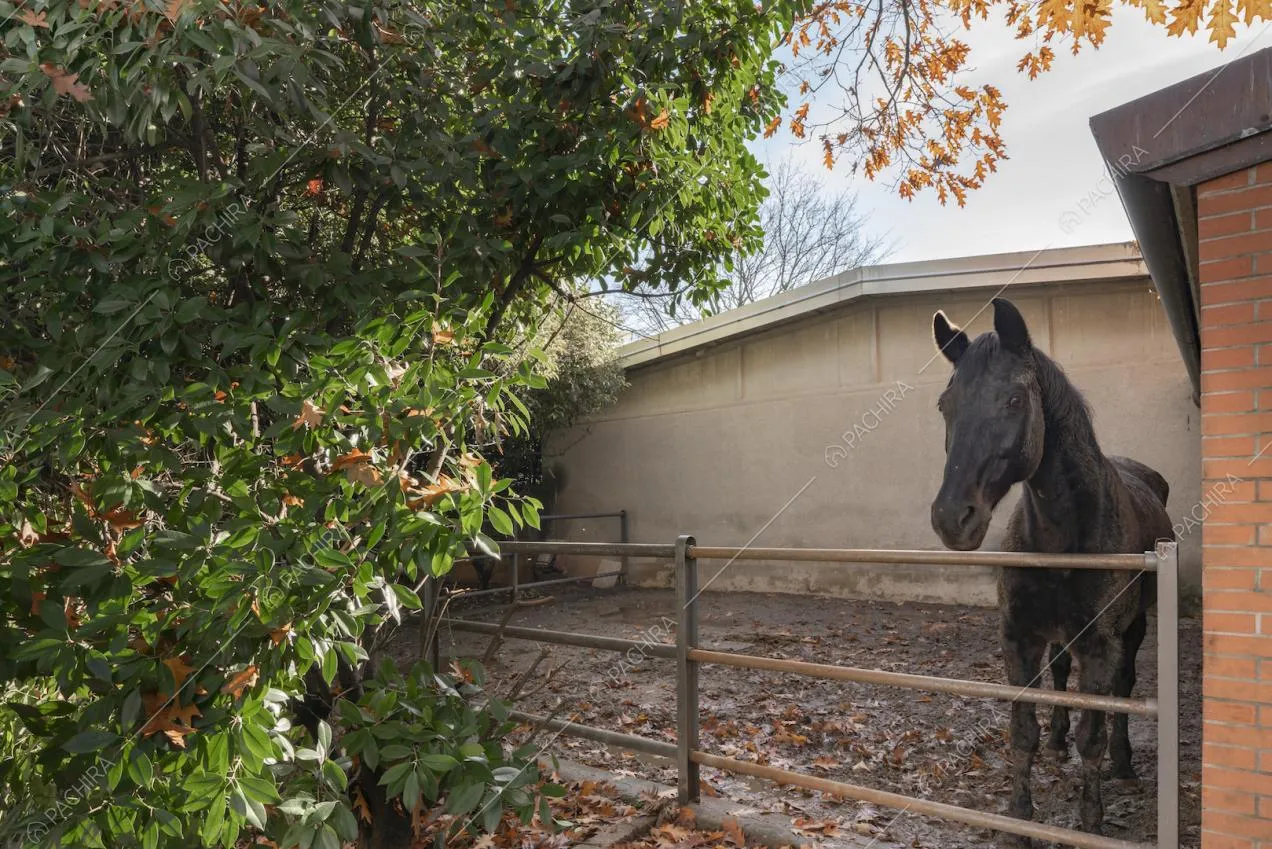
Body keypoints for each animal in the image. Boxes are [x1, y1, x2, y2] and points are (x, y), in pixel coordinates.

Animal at [927, 298, 1172, 844]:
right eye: (944, 405)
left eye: (1016, 399)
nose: (952, 518)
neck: (1064, 538)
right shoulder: (1020, 637)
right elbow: (1023, 731)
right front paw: (1019, 817)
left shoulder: (1101, 646)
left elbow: (1094, 734)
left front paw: (1091, 820)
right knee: (1060, 676)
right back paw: (1060, 741)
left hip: (1134, 630)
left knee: (1123, 690)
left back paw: (1124, 764)